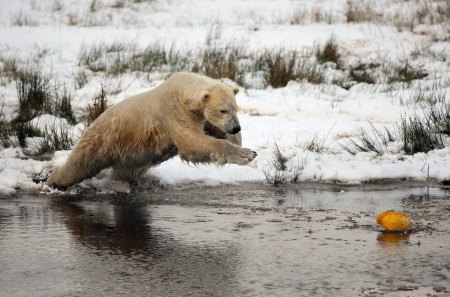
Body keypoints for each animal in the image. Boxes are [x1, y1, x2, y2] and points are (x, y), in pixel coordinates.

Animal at [48, 71, 258, 188]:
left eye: (235, 108)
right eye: (222, 110)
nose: (235, 127)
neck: (183, 92)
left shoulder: (200, 117)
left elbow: (212, 131)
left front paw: (242, 145)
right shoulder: (173, 112)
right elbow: (192, 143)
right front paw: (246, 155)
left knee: (125, 170)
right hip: (103, 139)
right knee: (80, 163)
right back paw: (54, 181)